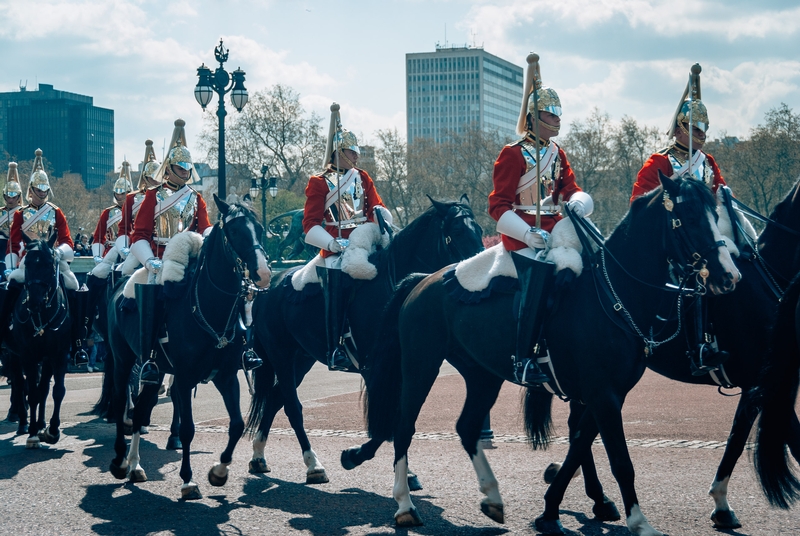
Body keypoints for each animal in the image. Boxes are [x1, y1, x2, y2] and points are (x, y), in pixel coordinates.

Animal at [4, 232, 72, 446]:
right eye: (27, 263)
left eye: (49, 263)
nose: (33, 303)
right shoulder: (28, 355)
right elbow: (32, 392)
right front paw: (33, 433)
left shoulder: (58, 355)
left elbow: (56, 391)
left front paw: (53, 430)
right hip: (14, 354)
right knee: (20, 384)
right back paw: (23, 423)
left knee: (40, 388)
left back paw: (40, 423)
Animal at [106, 199, 270, 500]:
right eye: (235, 230)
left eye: (260, 228)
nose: (262, 274)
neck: (209, 306)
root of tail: (121, 287)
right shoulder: (183, 379)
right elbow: (188, 429)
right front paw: (187, 481)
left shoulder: (225, 376)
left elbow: (237, 424)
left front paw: (219, 472)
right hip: (123, 360)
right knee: (123, 402)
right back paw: (120, 462)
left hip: (155, 370)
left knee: (140, 410)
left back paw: (136, 466)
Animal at [245, 196, 482, 482]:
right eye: (456, 232)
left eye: (480, 229)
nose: (478, 271)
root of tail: (268, 287)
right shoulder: (373, 367)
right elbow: (387, 422)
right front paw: (355, 456)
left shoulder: (405, 366)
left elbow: (400, 418)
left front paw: (404, 470)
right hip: (281, 355)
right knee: (292, 406)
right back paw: (313, 464)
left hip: (301, 359)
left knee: (275, 398)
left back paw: (259, 457)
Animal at [362, 177, 736, 532]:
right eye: (689, 217)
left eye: (716, 214)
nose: (729, 275)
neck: (613, 295)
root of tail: (424, 279)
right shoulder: (603, 395)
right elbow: (619, 460)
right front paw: (639, 522)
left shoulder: (605, 394)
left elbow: (579, 447)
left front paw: (553, 509)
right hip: (420, 366)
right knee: (404, 426)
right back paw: (405, 505)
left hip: (482, 375)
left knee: (467, 426)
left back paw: (492, 497)